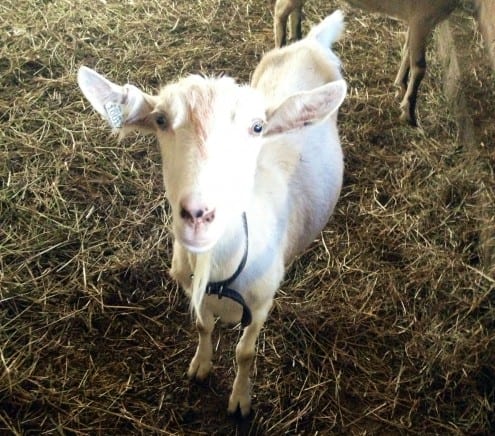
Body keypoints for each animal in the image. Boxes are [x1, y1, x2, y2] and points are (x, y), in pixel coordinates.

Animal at [78, 9, 348, 416]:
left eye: (258, 127)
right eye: (160, 120)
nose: (198, 214)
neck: (219, 270)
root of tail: (311, 41)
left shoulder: (262, 303)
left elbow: (245, 352)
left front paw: (240, 400)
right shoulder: (192, 289)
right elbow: (204, 328)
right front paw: (201, 367)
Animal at [274, 0, 460, 126]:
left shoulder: (416, 21)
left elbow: (407, 51)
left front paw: (400, 85)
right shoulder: (422, 19)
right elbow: (420, 66)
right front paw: (409, 113)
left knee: (294, 12)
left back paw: (296, 42)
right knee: (280, 10)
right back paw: (280, 48)